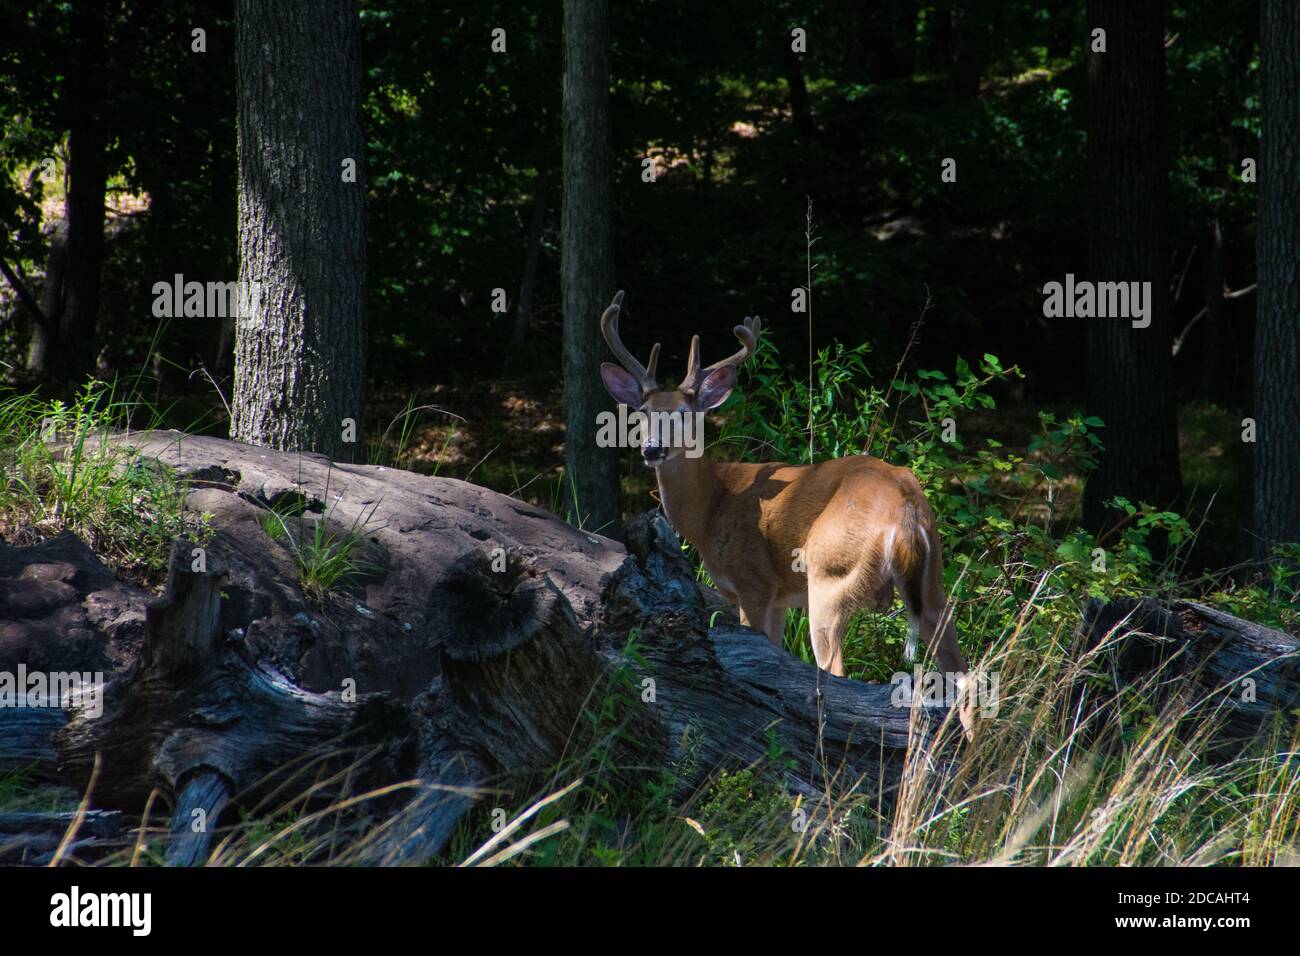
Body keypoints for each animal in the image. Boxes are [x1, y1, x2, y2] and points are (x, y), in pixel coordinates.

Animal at [595, 291, 972, 723]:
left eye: (684, 414)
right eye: (641, 413)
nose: (652, 449)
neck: (711, 507)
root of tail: (904, 510)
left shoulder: (753, 582)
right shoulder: (778, 598)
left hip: (830, 575)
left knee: (836, 670)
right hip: (933, 580)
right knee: (962, 674)